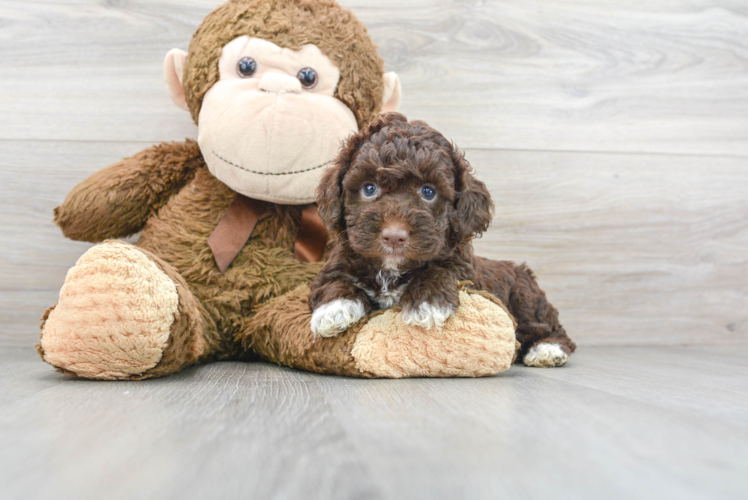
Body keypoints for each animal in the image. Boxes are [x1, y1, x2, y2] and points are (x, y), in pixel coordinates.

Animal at [306, 111, 576, 366]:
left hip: (525, 300)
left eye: (428, 192)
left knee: (552, 329)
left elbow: (442, 269)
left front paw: (427, 302)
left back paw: (548, 350)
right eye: (369, 188)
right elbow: (333, 280)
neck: (391, 270)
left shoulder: (464, 269)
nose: (394, 236)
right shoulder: (338, 261)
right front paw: (335, 309)